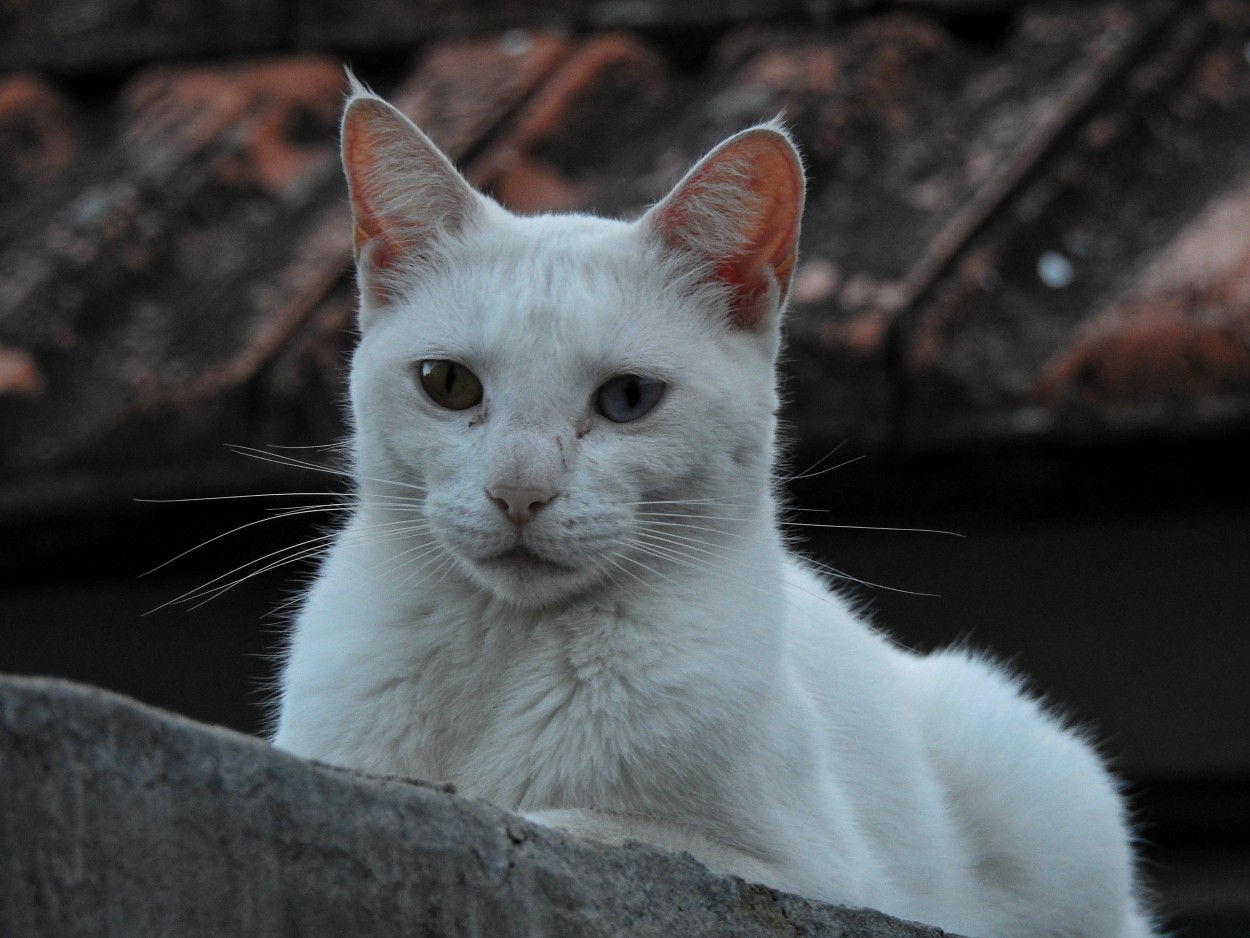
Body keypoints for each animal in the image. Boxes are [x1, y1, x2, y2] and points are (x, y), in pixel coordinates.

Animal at [273, 82, 1150, 938]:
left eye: (628, 399)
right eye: (448, 384)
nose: (519, 491)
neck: (504, 652)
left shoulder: (812, 872)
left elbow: (581, 820)